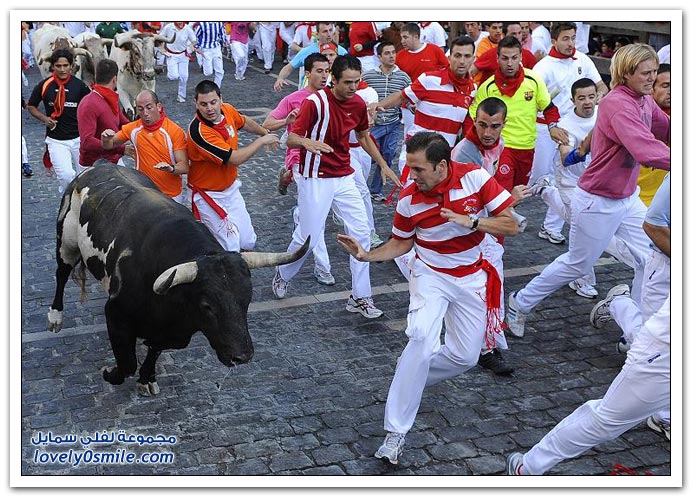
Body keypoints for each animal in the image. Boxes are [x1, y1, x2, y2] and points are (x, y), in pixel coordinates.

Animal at [47, 164, 306, 396]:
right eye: (207, 306)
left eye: (247, 300)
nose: (242, 356)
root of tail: (96, 167)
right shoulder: (115, 313)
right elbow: (127, 362)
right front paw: (110, 374)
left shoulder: (167, 331)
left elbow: (154, 351)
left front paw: (147, 378)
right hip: (66, 242)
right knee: (61, 274)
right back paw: (55, 317)